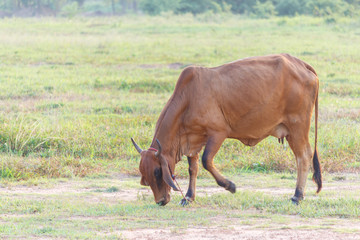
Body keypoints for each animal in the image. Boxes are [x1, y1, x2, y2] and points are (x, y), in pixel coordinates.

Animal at [131, 54, 322, 206]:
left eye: (157, 172)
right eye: (144, 173)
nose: (160, 201)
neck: (188, 98)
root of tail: (300, 63)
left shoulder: (217, 133)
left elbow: (207, 161)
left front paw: (230, 186)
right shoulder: (193, 139)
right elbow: (193, 168)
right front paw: (189, 197)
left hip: (297, 126)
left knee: (304, 156)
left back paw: (297, 195)